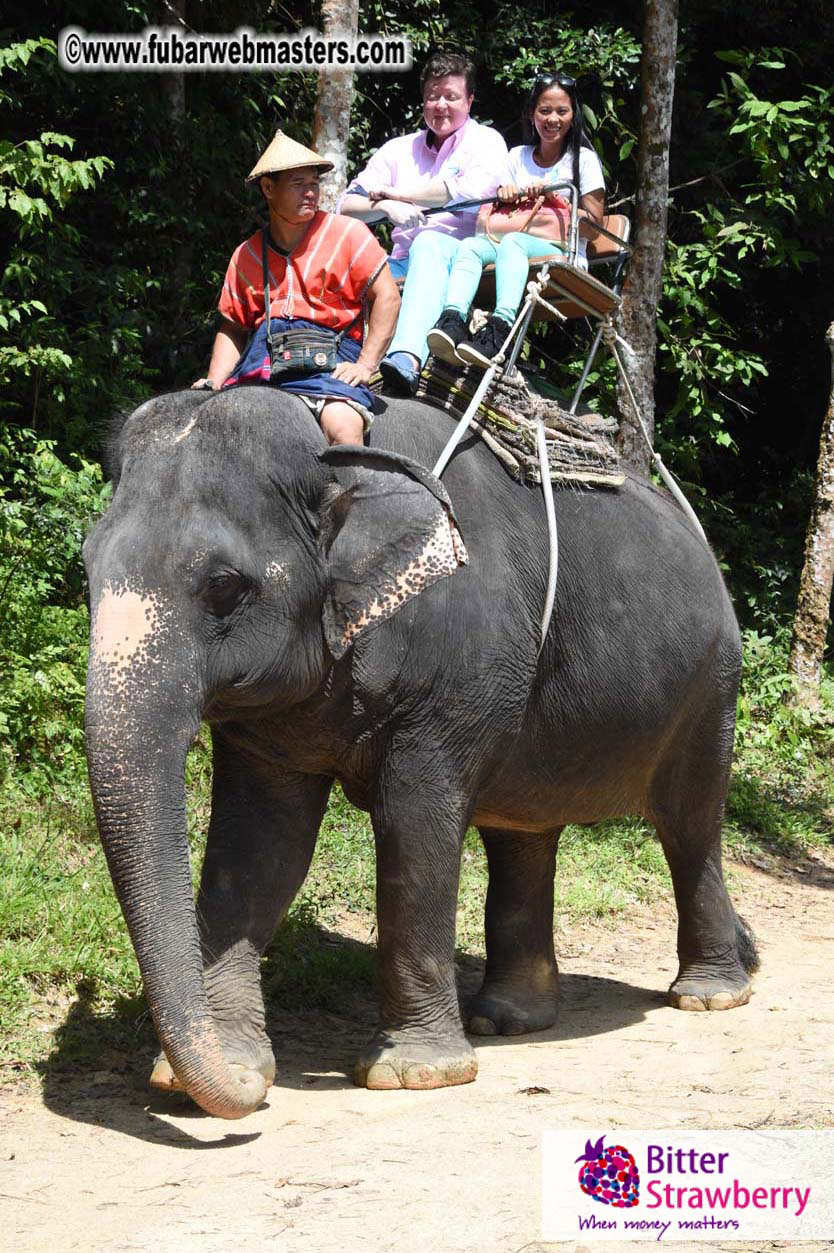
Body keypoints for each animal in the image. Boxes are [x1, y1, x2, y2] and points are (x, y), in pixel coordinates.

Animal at [83, 384, 758, 1120]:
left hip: (712, 684)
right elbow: (260, 847)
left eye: (224, 585)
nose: (250, 1097)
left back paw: (711, 994)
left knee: (690, 823)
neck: (335, 459)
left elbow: (416, 827)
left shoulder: (455, 677)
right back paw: (509, 1019)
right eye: (86, 564)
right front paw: (212, 1074)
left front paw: (413, 1074)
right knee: (524, 833)